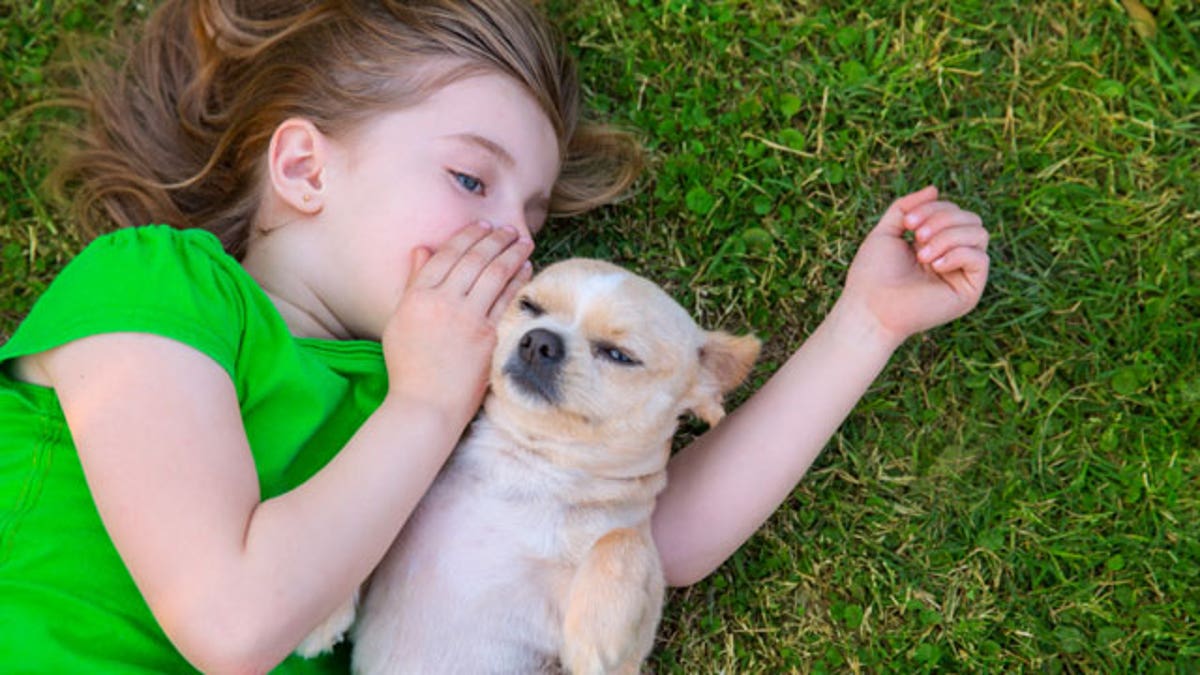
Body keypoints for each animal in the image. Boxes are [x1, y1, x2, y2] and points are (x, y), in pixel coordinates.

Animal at [304, 257, 763, 672]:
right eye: (529, 306)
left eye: (619, 355)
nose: (539, 340)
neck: (530, 466)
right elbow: (363, 531)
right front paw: (323, 613)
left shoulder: (628, 656)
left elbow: (622, 540)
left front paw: (595, 633)